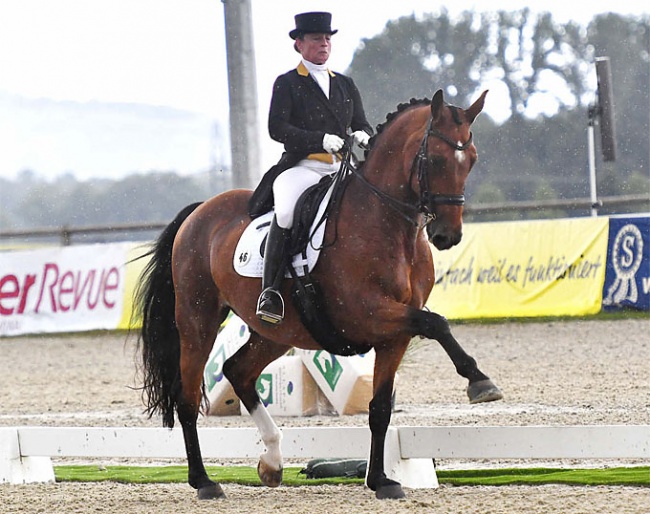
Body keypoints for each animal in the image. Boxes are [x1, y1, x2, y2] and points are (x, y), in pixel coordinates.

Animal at [135, 89, 502, 500]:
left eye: (471, 160)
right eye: (435, 159)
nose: (447, 236)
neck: (387, 224)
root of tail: (200, 210)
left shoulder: (395, 334)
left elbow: (380, 408)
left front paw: (381, 480)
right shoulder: (368, 313)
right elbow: (437, 323)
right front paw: (480, 382)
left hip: (278, 332)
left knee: (238, 371)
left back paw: (272, 463)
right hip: (198, 319)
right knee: (187, 397)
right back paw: (204, 481)